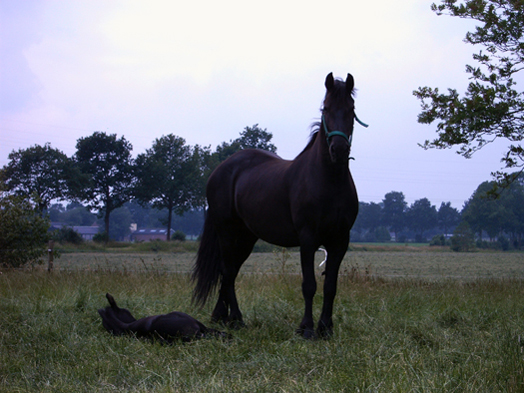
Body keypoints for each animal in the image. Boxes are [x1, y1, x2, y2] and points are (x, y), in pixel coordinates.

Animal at [192, 72, 360, 336]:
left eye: (351, 110)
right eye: (325, 108)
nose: (339, 149)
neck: (328, 180)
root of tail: (220, 169)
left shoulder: (340, 240)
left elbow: (330, 286)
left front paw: (326, 328)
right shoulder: (308, 238)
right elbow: (309, 284)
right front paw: (306, 328)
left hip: (246, 238)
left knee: (229, 272)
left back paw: (221, 317)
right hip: (227, 232)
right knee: (227, 271)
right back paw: (236, 319)